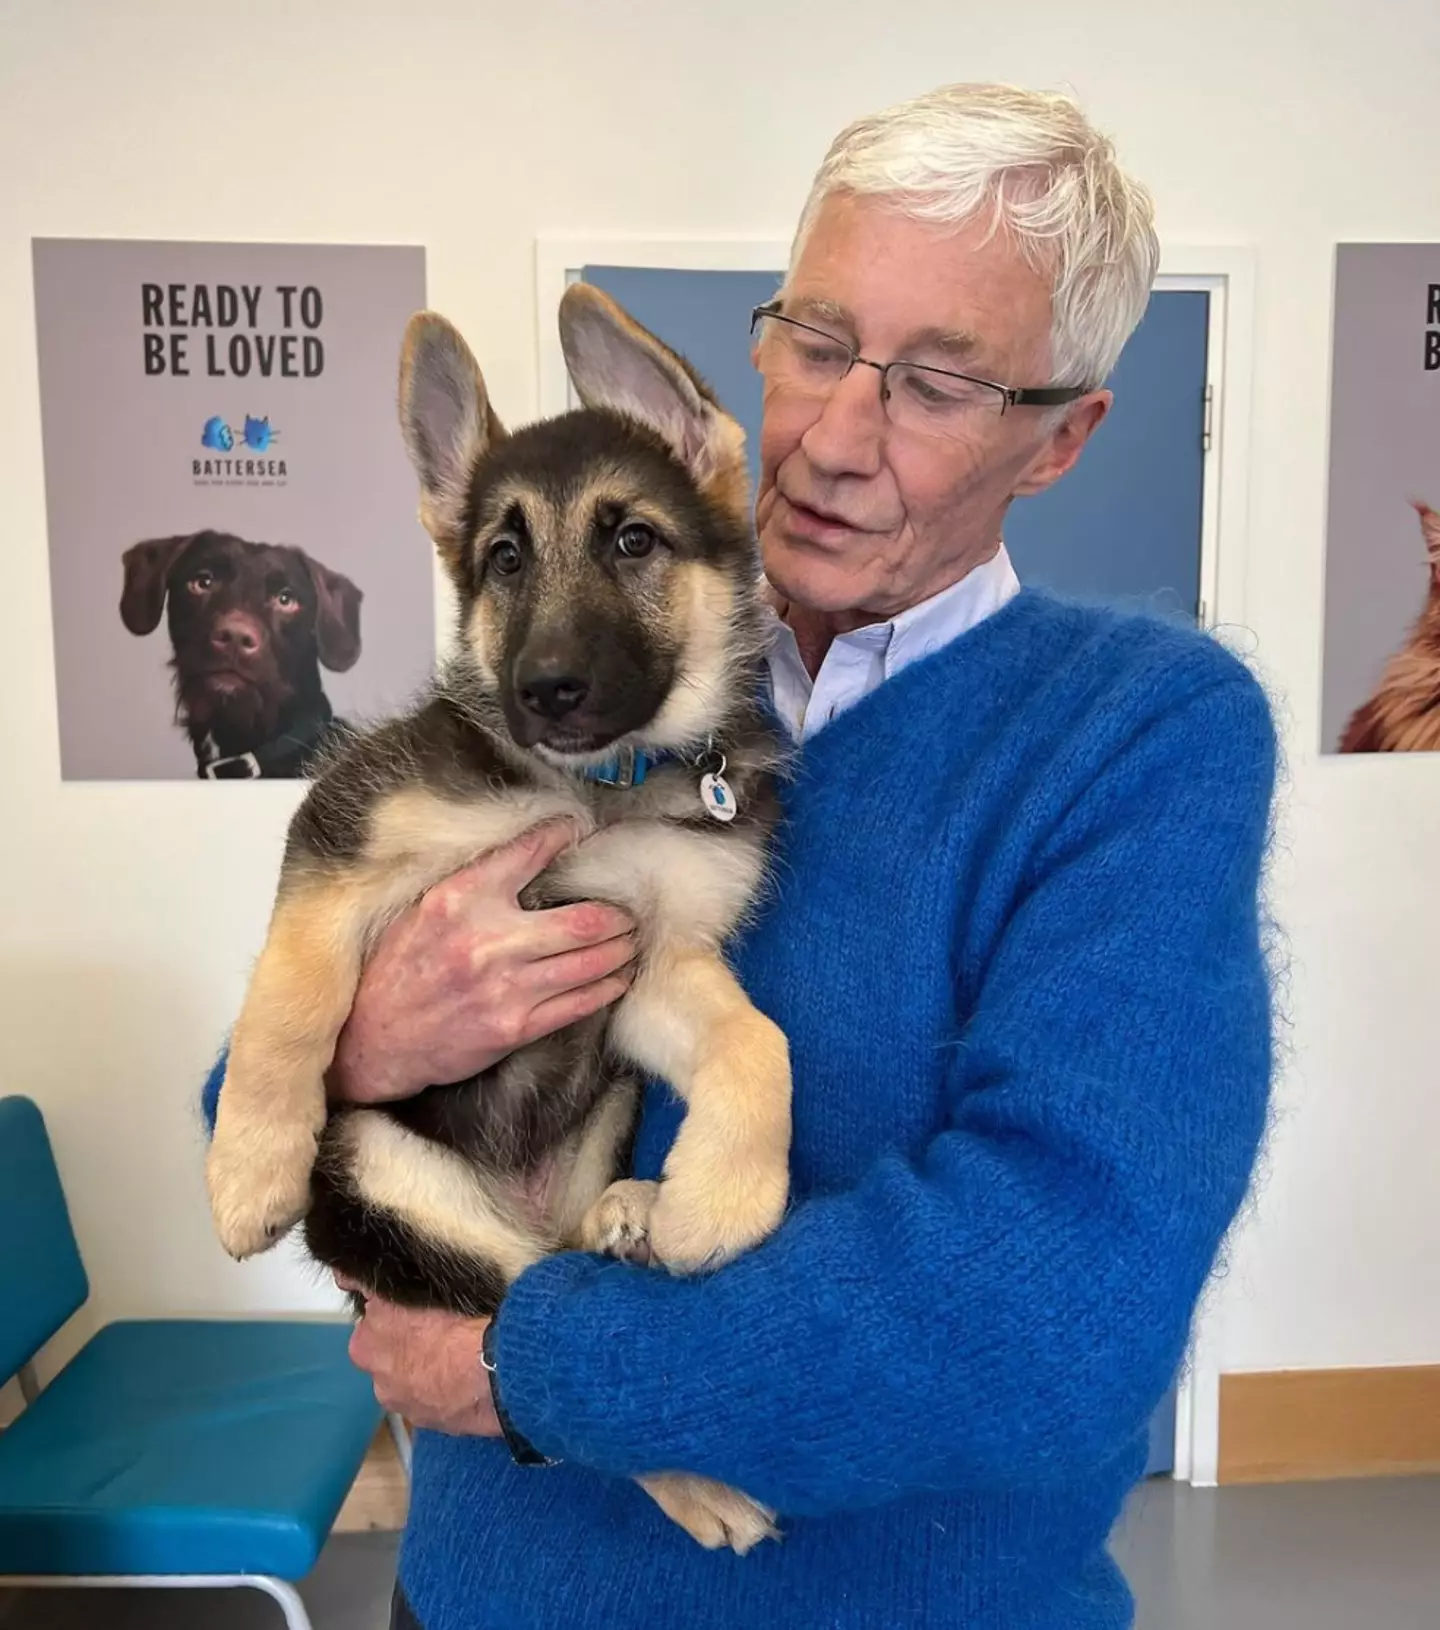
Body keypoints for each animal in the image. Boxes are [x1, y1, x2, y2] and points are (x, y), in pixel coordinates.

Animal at [205, 283, 789, 1551]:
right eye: (503, 558)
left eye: (633, 540)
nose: (545, 690)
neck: (596, 784)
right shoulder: (341, 844)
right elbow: (288, 997)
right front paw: (248, 1166)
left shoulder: (652, 958)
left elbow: (756, 1040)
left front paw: (723, 1196)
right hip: (383, 1178)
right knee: (526, 1317)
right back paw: (702, 1475)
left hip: (599, 1117)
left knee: (558, 1288)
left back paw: (635, 1210)